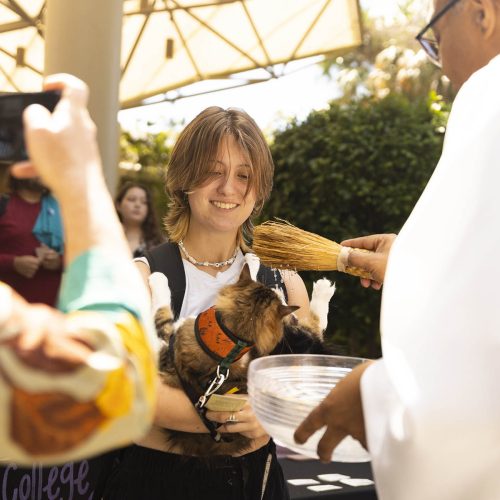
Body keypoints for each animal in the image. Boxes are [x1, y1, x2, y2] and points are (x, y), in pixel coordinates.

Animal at [149, 262, 336, 458]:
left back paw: (323, 287)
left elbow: (160, 312)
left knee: (314, 325)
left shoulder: (163, 348)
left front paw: (157, 278)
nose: (277, 291)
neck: (231, 343)